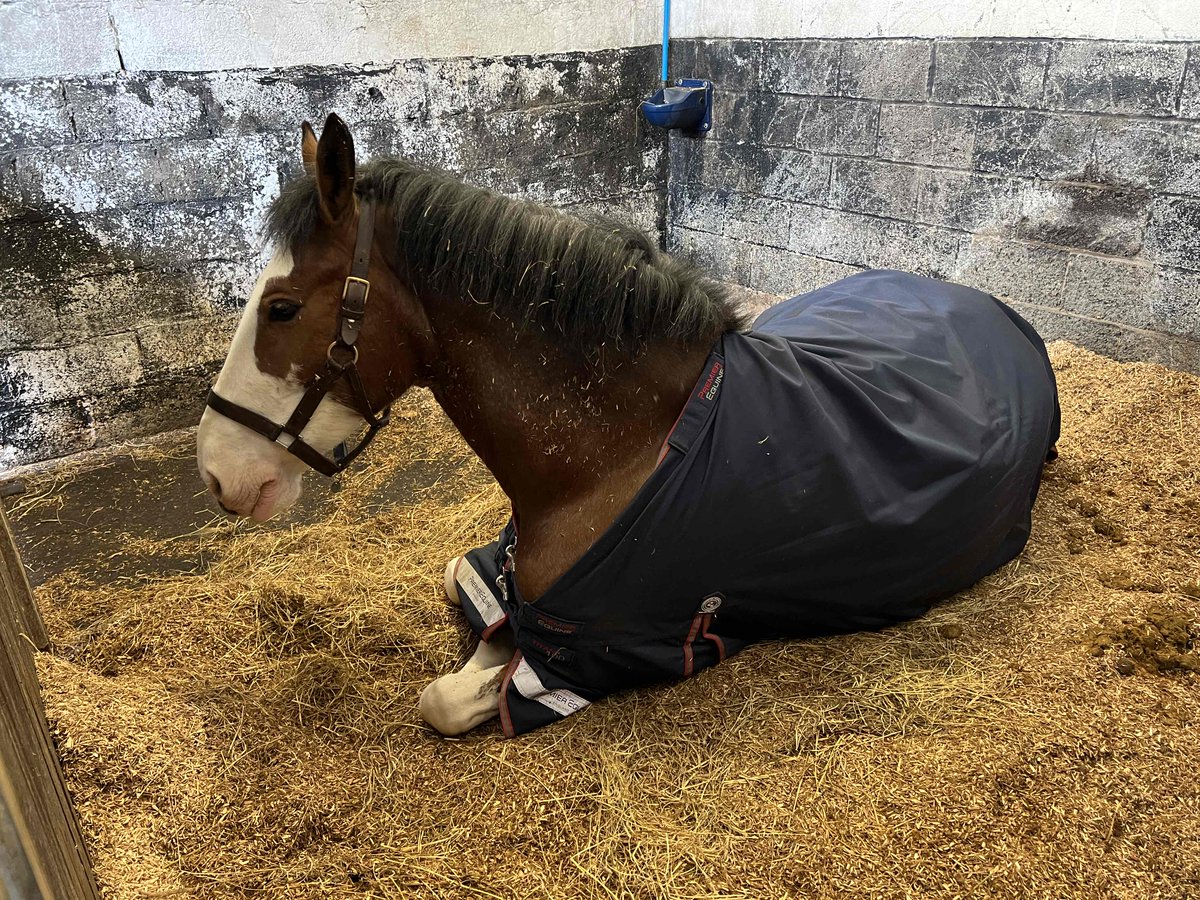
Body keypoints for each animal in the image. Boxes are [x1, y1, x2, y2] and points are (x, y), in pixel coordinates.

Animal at [197, 114, 1060, 738]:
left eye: (282, 308)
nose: (216, 472)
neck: (620, 453)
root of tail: (1006, 317)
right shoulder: (501, 569)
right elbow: (461, 583)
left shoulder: (590, 655)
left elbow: (449, 697)